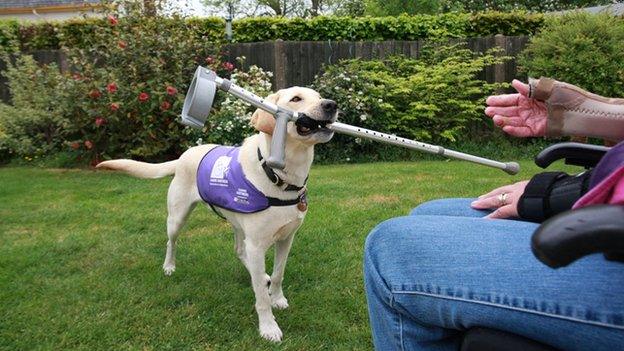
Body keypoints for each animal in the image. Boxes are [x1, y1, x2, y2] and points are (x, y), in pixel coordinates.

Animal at [96, 86, 336, 342]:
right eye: (296, 99)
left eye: (319, 97)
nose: (331, 105)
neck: (279, 175)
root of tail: (184, 155)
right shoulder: (257, 244)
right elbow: (261, 297)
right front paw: (268, 327)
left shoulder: (286, 238)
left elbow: (279, 273)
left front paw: (278, 298)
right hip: (177, 217)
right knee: (172, 242)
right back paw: (169, 266)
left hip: (238, 223)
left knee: (240, 251)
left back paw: (260, 275)